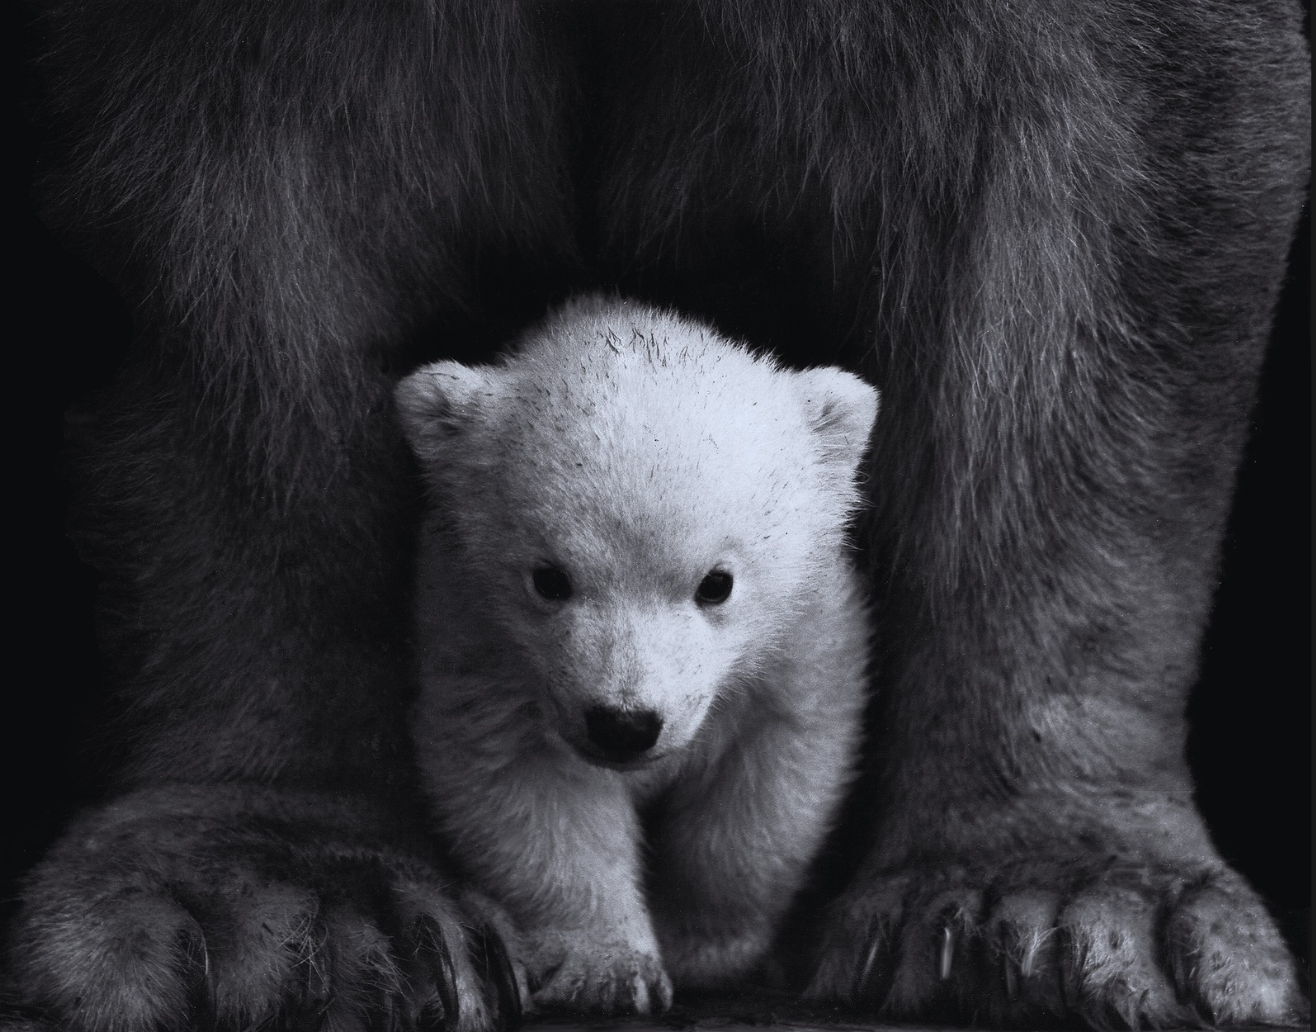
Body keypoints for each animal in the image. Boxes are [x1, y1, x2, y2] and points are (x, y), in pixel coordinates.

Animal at [394, 296, 877, 1014]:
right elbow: (529, 788)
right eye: (549, 578)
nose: (624, 724)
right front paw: (610, 969)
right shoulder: (478, 642)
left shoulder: (803, 640)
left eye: (716, 583)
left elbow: (768, 782)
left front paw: (704, 948)